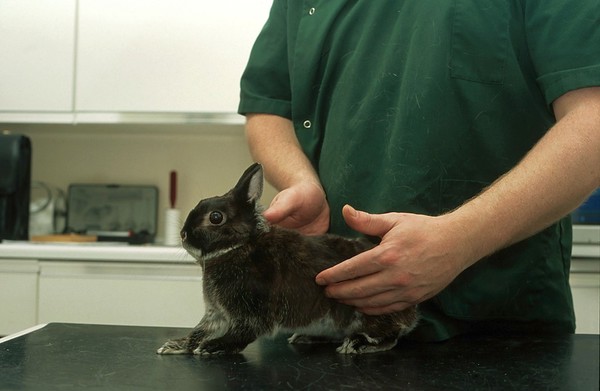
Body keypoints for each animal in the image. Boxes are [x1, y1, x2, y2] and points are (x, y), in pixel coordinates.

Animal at [156, 164, 418, 356]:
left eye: (216, 217)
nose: (183, 234)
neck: (239, 246)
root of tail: (412, 309)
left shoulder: (251, 312)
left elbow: (241, 334)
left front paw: (212, 347)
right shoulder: (216, 313)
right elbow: (198, 331)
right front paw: (175, 345)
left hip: (372, 310)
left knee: (390, 336)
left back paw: (357, 344)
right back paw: (306, 336)